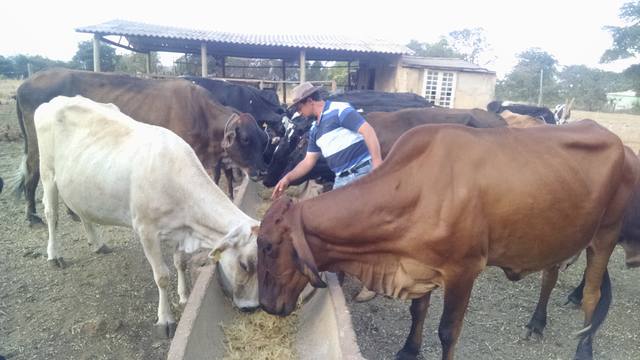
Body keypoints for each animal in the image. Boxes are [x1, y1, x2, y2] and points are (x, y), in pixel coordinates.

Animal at [12, 68, 268, 225]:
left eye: (263, 139)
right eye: (246, 139)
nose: (261, 172)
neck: (201, 114)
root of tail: (25, 84)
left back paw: (71, 212)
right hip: (37, 147)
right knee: (32, 172)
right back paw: (32, 215)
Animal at [34, 95, 260, 338]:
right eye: (245, 265)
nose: (252, 308)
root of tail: (55, 101)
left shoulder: (180, 227)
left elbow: (180, 261)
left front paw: (184, 296)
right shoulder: (146, 230)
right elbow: (162, 276)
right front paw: (166, 319)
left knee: (81, 210)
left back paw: (97, 243)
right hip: (47, 172)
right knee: (51, 212)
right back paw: (54, 255)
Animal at [258, 121, 636, 360]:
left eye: (268, 247)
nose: (264, 305)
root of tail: (618, 141)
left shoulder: (463, 271)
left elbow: (447, 331)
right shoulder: (419, 265)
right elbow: (418, 310)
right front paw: (409, 350)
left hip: (605, 235)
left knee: (592, 295)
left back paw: (584, 349)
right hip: (558, 236)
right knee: (550, 275)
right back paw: (535, 323)